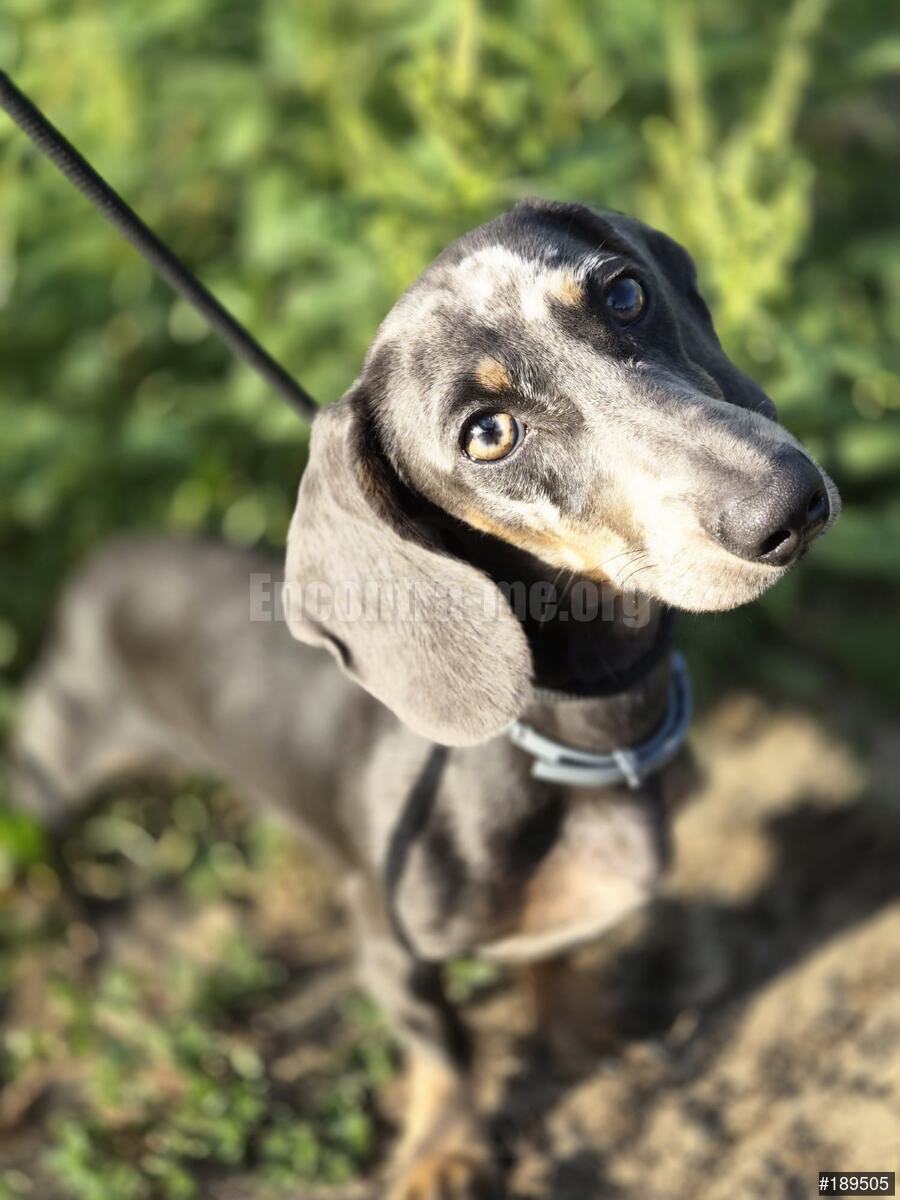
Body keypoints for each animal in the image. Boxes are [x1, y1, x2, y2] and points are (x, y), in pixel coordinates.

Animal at [10, 199, 840, 1199]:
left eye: (625, 294)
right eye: (486, 434)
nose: (788, 505)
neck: (576, 736)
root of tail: (93, 567)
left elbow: (556, 960)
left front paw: (581, 1036)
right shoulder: (388, 941)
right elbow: (446, 1046)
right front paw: (445, 1150)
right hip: (51, 772)